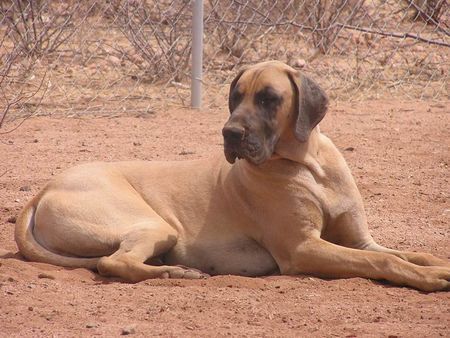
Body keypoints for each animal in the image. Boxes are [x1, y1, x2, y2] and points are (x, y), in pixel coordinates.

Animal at [13, 60, 446, 290]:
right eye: (235, 96)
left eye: (269, 98)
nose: (230, 133)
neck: (309, 165)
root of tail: (42, 189)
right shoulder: (303, 249)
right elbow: (383, 263)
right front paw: (429, 279)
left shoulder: (359, 240)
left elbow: (404, 254)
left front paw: (438, 264)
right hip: (152, 224)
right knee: (112, 263)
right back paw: (173, 271)